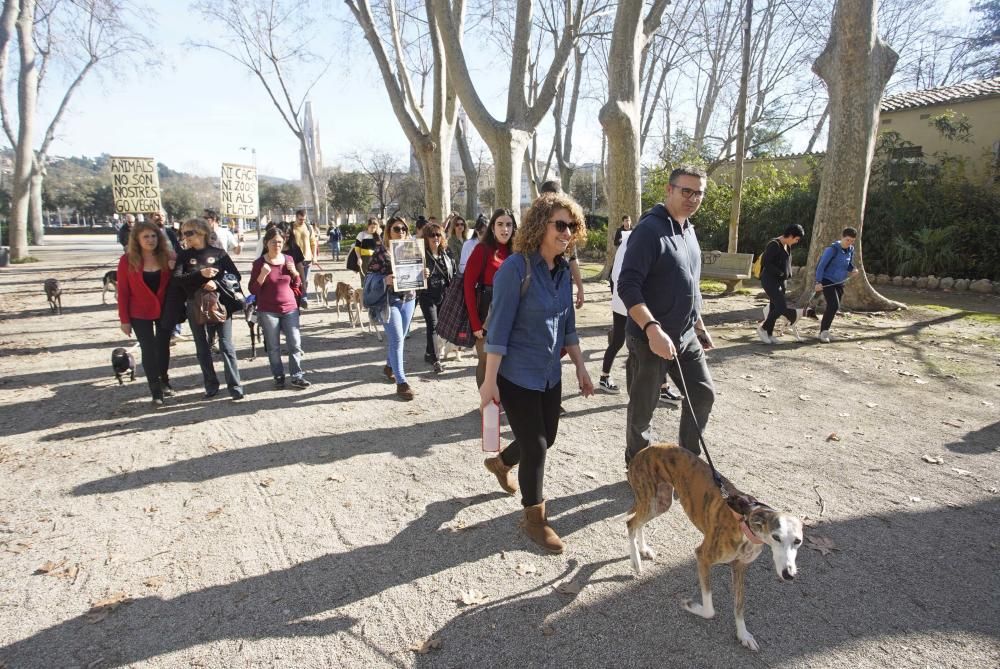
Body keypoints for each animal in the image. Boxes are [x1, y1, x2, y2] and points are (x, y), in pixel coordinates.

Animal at [624, 440, 804, 648]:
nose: (789, 574)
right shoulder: (703, 556)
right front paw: (691, 605)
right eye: (776, 537)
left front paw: (743, 635)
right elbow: (710, 610)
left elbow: (739, 606)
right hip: (650, 498)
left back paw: (643, 550)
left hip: (660, 503)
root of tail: (644, 450)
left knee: (639, 522)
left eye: (798, 541)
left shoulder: (740, 567)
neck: (745, 521)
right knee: (630, 523)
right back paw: (636, 562)